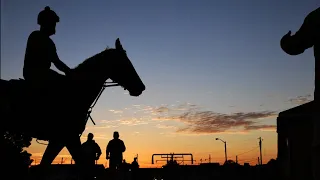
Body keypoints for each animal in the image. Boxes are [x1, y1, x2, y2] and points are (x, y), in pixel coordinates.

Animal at [0, 38, 145, 177]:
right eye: (125, 63)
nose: (141, 87)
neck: (73, 92)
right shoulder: (69, 137)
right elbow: (84, 168)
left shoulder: (59, 139)